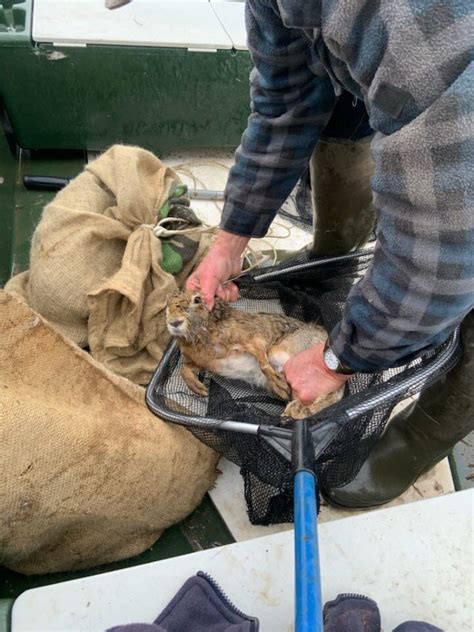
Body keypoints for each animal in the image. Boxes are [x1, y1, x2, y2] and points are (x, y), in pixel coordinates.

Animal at [165, 292, 342, 420]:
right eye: (167, 306)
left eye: (197, 299)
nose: (174, 322)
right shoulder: (207, 363)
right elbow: (185, 368)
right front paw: (200, 389)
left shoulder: (253, 338)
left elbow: (262, 361)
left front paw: (279, 385)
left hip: (284, 353)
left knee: (333, 393)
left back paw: (297, 410)